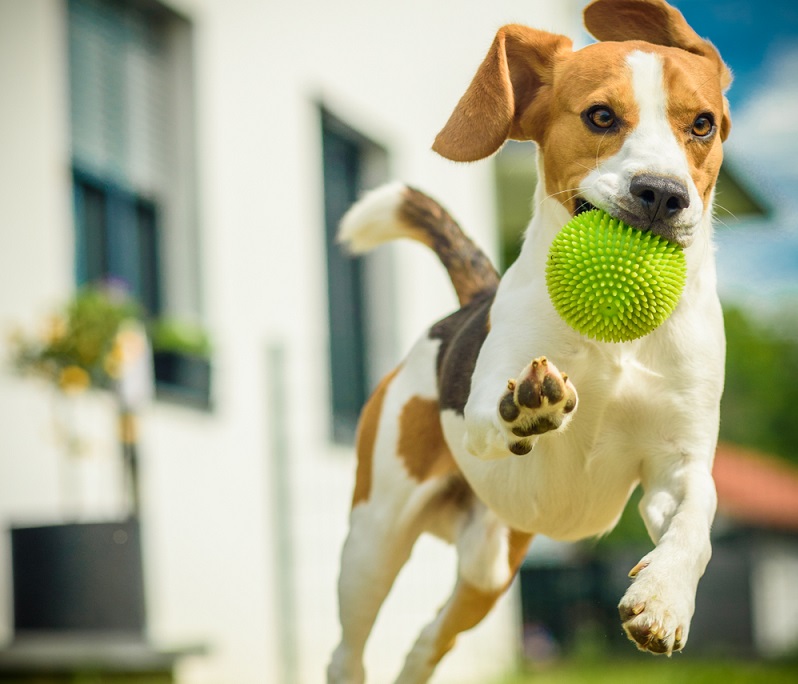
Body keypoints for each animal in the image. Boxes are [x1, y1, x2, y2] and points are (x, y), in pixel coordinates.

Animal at [328, 2, 736, 680]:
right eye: (601, 116)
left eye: (702, 124)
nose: (662, 193)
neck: (615, 340)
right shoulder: (481, 417)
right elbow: (502, 414)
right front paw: (529, 405)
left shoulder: (676, 465)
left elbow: (696, 521)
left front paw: (664, 598)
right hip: (374, 539)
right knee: (348, 651)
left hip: (488, 569)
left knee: (428, 640)